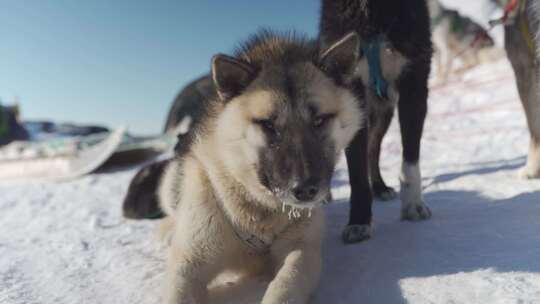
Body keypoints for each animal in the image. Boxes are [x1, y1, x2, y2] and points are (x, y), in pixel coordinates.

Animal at [155, 31, 362, 304]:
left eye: (319, 120)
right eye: (268, 124)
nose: (306, 189)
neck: (258, 209)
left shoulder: (302, 248)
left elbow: (287, 281)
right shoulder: (190, 261)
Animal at [320, 0, 434, 243]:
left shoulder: (415, 82)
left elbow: (410, 161)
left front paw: (413, 205)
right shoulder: (351, 91)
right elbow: (357, 171)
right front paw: (359, 221)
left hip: (383, 113)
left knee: (373, 149)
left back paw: (380, 187)